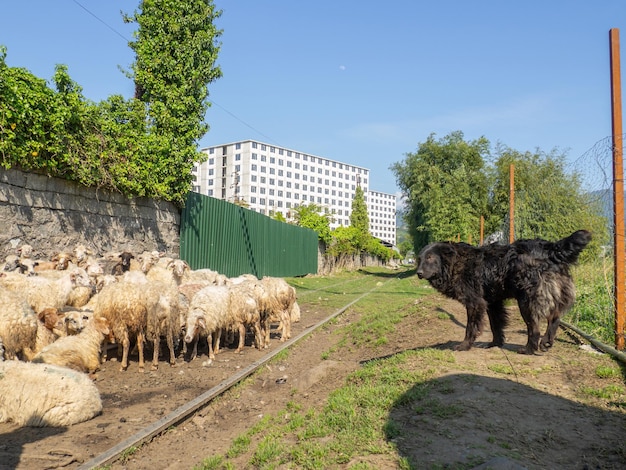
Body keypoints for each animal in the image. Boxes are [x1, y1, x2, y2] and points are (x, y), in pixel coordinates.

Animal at [414, 229, 588, 354]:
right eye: (420, 259)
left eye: (430, 258)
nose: (418, 273)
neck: (454, 263)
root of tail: (550, 248)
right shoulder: (493, 303)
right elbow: (495, 325)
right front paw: (495, 344)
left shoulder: (475, 303)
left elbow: (471, 327)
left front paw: (464, 346)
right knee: (555, 317)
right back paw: (546, 342)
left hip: (526, 301)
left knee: (534, 328)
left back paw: (528, 349)